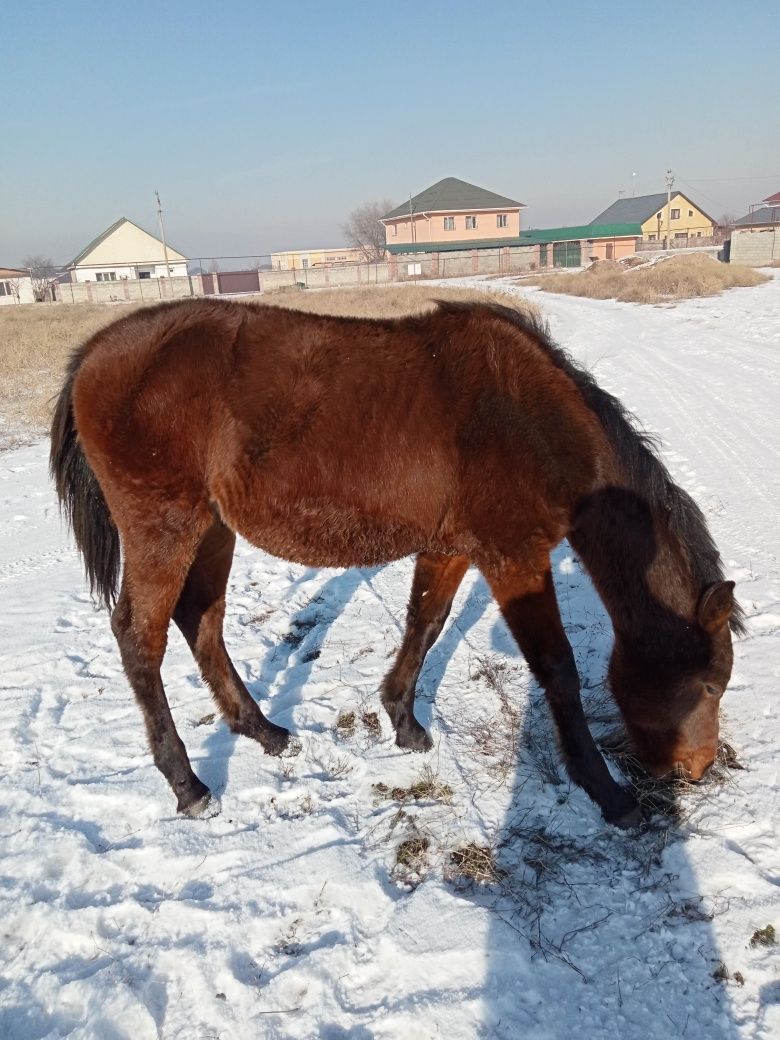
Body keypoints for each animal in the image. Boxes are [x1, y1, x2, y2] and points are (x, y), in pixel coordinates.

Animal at [50, 299, 744, 827]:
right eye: (709, 685)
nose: (697, 768)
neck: (530, 420)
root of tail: (94, 354)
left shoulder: (452, 546)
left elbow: (424, 625)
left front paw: (404, 723)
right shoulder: (514, 558)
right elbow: (558, 669)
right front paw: (606, 792)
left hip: (213, 530)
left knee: (201, 621)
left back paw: (266, 732)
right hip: (164, 529)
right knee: (140, 638)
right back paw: (189, 785)